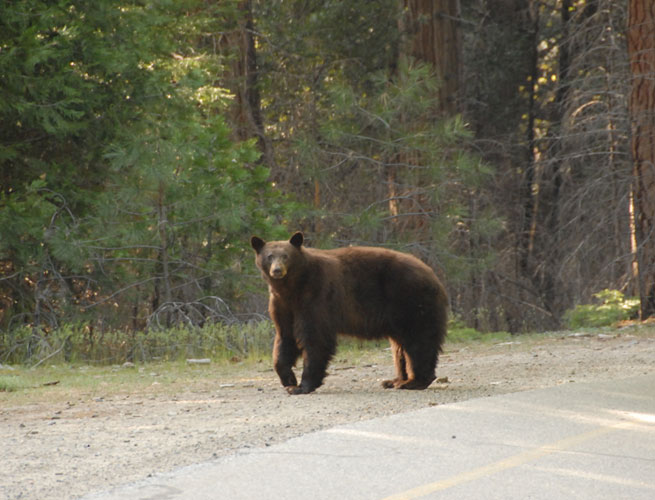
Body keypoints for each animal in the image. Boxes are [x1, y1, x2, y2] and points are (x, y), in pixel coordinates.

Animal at [249, 231, 448, 394]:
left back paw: (414, 382)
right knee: (399, 347)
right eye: (269, 256)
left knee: (418, 340)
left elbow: (315, 338)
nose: (277, 270)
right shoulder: (283, 305)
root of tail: (433, 275)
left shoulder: (316, 296)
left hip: (410, 301)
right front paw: (289, 379)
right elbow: (285, 337)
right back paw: (395, 380)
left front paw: (303, 386)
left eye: (286, 256)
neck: (293, 287)